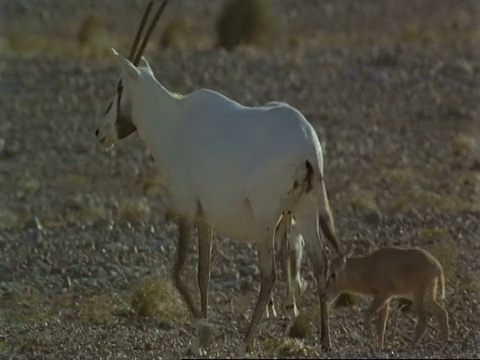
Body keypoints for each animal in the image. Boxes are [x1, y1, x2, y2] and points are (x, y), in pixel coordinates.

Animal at [93, 0, 342, 354]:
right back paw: (324, 340)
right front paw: (201, 339)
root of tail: (308, 143)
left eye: (119, 86)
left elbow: (178, 271)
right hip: (305, 209)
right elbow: (203, 273)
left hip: (267, 218)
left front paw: (204, 330)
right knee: (320, 264)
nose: (100, 132)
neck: (173, 120)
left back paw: (246, 342)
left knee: (269, 274)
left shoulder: (185, 206)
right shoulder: (204, 217)